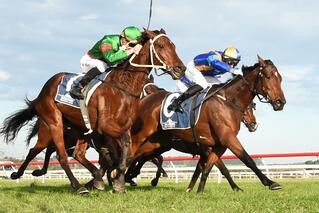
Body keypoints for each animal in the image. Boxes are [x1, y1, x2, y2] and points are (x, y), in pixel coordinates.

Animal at [0, 29, 186, 194]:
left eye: (174, 46)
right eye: (161, 45)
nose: (180, 68)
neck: (123, 88)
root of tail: (42, 92)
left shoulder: (122, 129)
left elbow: (125, 154)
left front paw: (116, 182)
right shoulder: (106, 127)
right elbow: (123, 149)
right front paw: (117, 180)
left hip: (81, 128)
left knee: (74, 153)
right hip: (53, 122)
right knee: (57, 155)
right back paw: (77, 186)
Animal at [128, 55, 288, 192]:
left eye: (280, 78)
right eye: (268, 76)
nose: (281, 102)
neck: (228, 101)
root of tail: (143, 101)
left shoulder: (217, 145)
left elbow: (207, 169)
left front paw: (198, 190)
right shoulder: (226, 138)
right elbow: (246, 159)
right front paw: (270, 182)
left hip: (156, 142)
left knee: (142, 156)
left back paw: (132, 177)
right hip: (142, 136)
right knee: (133, 154)